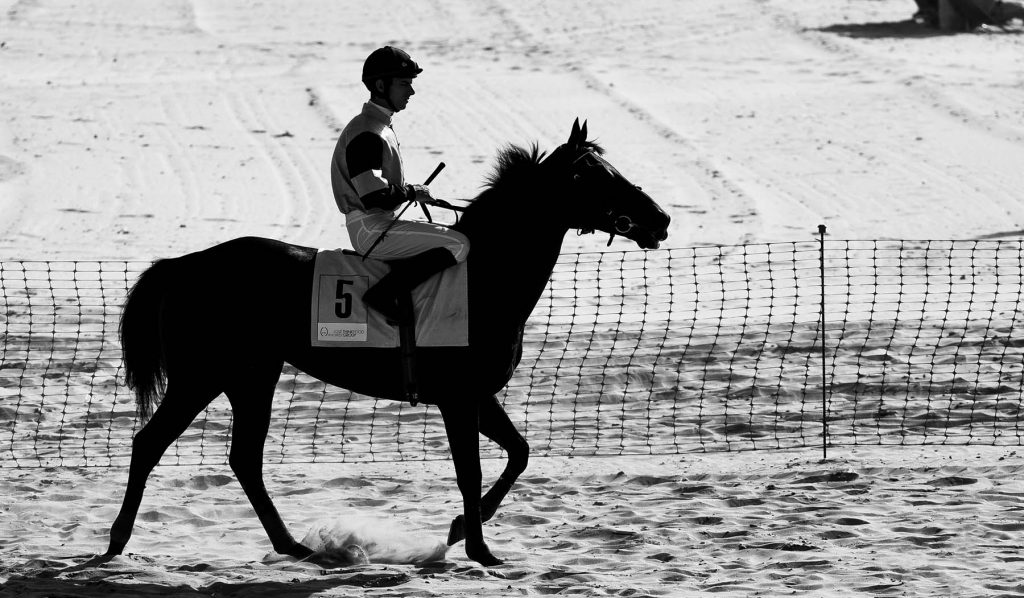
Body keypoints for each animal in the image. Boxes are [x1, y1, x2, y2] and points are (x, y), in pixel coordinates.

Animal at [105, 119, 670, 567]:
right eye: (592, 175)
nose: (660, 219)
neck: (484, 278)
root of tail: (184, 264)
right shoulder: (458, 399)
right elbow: (471, 470)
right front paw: (479, 548)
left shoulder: (477, 395)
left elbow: (520, 452)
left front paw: (463, 530)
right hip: (203, 376)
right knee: (151, 444)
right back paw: (117, 541)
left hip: (252, 376)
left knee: (243, 458)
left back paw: (294, 546)